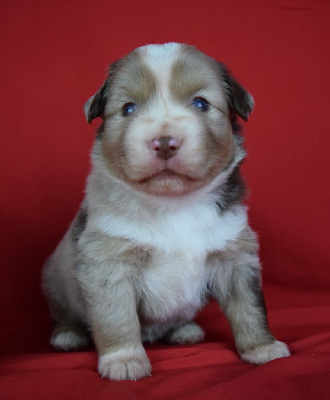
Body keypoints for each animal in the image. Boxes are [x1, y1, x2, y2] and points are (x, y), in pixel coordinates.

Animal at [42, 42, 290, 380]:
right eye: (128, 109)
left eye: (200, 103)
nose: (164, 143)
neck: (175, 204)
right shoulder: (109, 262)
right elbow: (116, 317)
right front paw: (123, 360)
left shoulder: (235, 257)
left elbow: (250, 307)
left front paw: (263, 348)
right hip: (56, 279)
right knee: (65, 313)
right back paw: (68, 335)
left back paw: (184, 330)